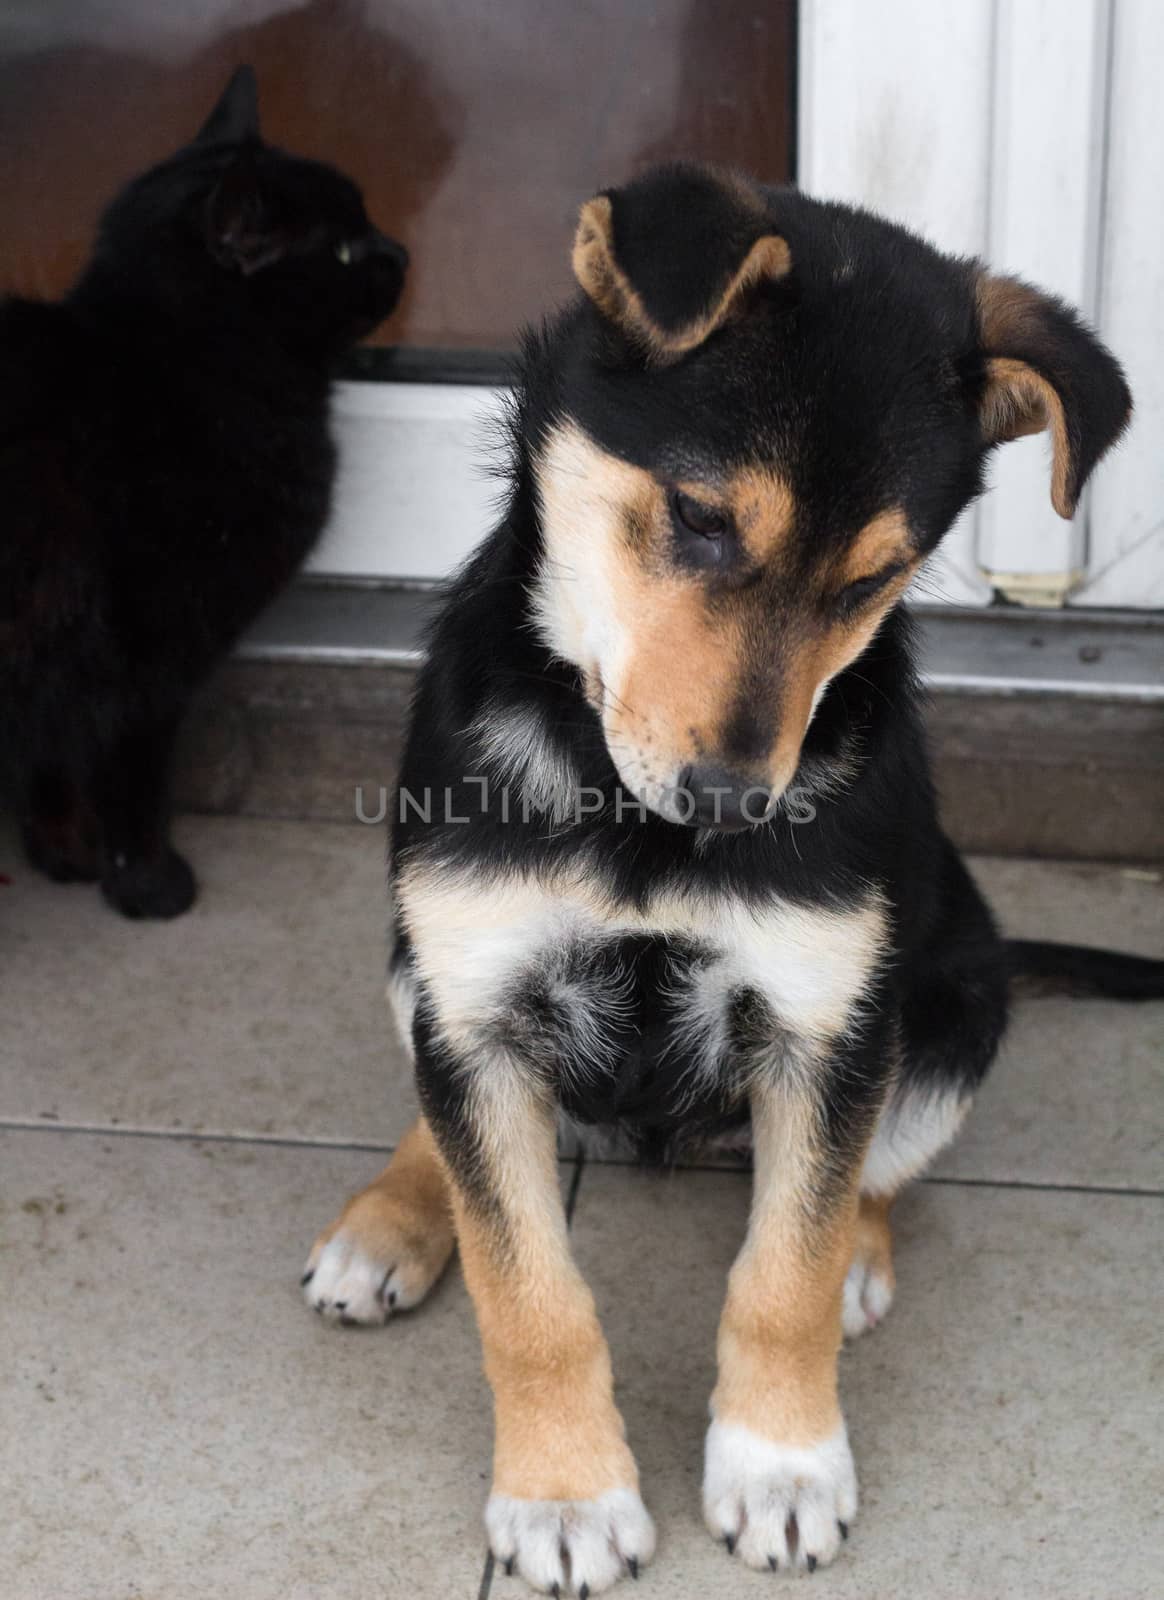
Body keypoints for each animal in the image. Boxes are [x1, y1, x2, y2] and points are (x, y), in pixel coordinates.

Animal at [0, 68, 409, 921]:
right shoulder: (145, 652)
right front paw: (148, 883)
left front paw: (63, 849)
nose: (403, 250)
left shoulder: (66, 650)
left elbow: (49, 763)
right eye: (347, 247)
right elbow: (130, 775)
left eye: (371, 225)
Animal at [302, 168, 1164, 1593]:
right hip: (410, 958)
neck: (630, 822)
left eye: (876, 578)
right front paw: (564, 1496)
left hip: (954, 1004)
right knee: (450, 1133)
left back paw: (860, 1252)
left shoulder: (827, 1022)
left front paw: (781, 1466)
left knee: (868, 1178)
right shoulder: (475, 991)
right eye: (701, 518)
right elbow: (527, 1288)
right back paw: (391, 1220)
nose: (730, 803)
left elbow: (782, 1272)